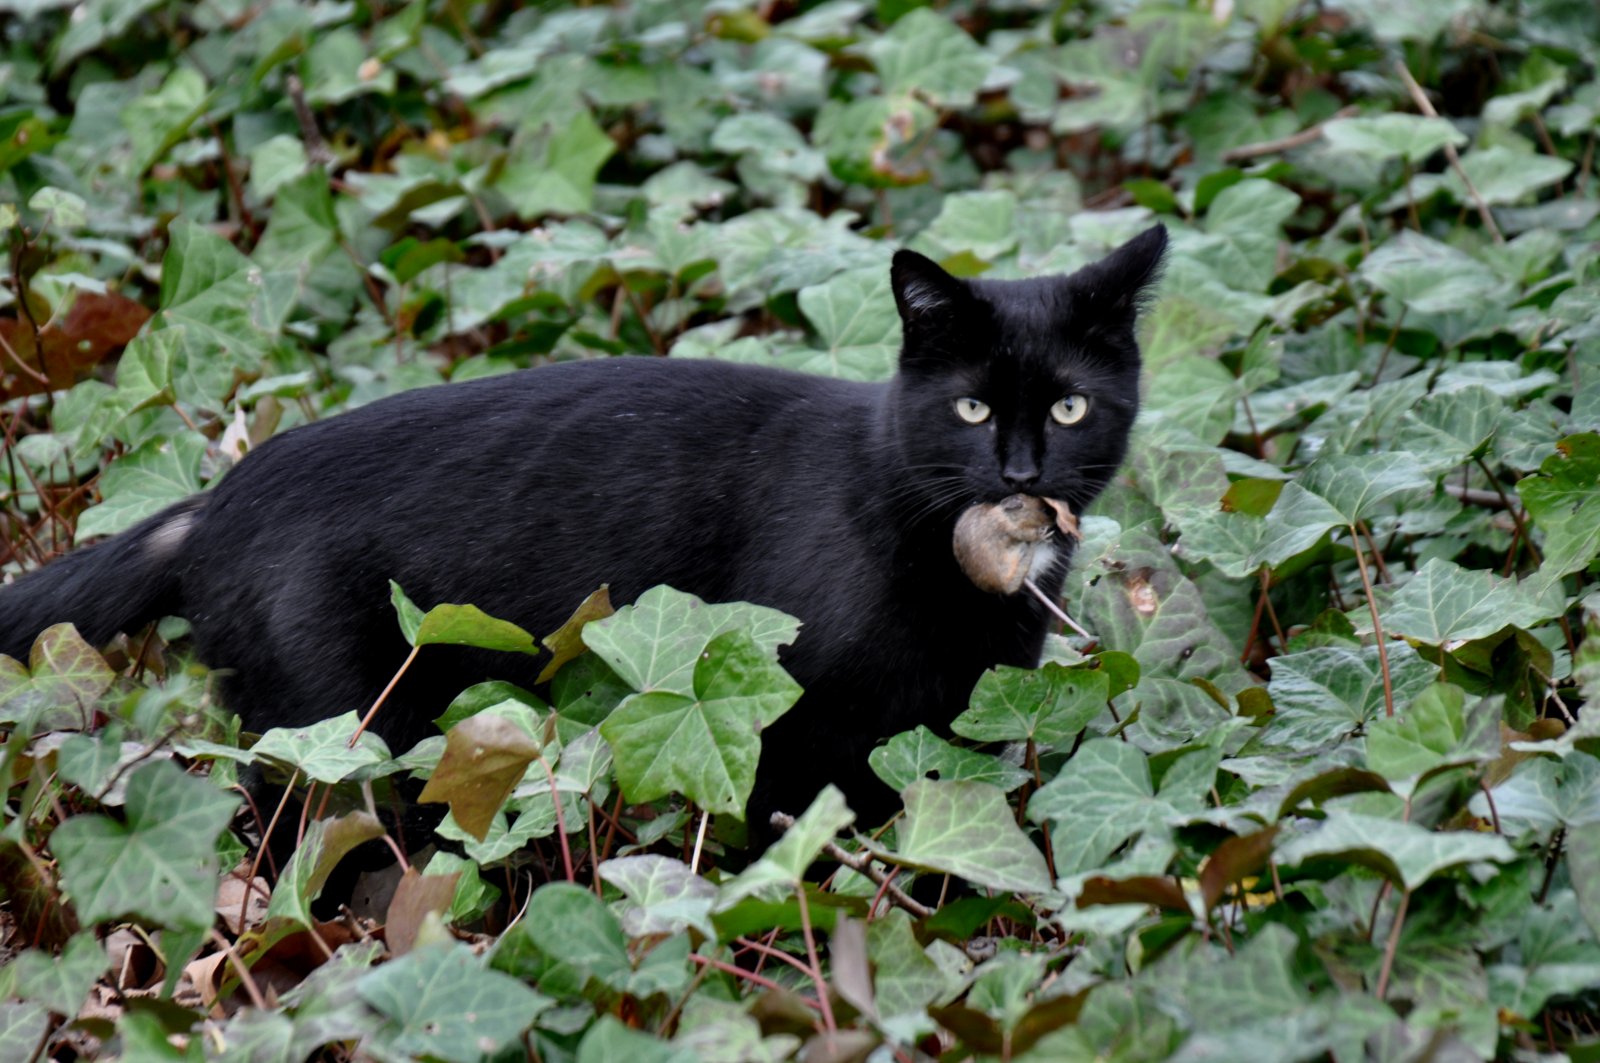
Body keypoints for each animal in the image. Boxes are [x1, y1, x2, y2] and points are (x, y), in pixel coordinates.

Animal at [6, 228, 1171, 826]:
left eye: (1070, 408)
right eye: (970, 408)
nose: (1019, 473)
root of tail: (211, 497)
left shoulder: (949, 720)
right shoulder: (797, 723)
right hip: (339, 721)